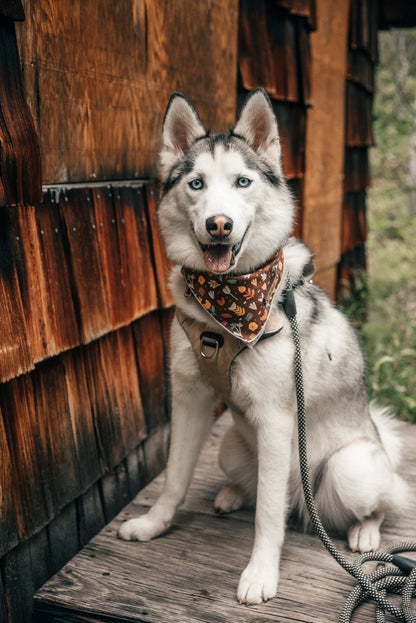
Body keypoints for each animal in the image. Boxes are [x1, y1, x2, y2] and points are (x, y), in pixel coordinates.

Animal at [119, 88, 406, 604]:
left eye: (242, 182)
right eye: (196, 184)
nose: (219, 224)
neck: (227, 308)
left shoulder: (275, 421)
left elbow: (268, 517)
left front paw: (260, 573)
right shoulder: (190, 400)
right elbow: (174, 477)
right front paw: (154, 523)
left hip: (350, 469)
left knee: (367, 503)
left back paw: (365, 532)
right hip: (232, 447)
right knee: (258, 487)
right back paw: (233, 494)